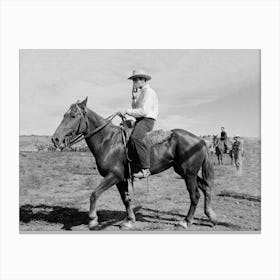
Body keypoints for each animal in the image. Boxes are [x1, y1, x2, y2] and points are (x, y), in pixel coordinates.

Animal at [51, 97, 218, 231]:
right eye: (64, 115)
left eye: (74, 116)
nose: (55, 139)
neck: (108, 141)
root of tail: (201, 140)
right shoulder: (121, 179)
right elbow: (126, 199)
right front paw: (129, 221)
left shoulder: (114, 176)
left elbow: (94, 194)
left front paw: (93, 221)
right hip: (184, 172)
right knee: (205, 188)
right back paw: (211, 217)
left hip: (189, 174)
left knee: (195, 195)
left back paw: (186, 221)